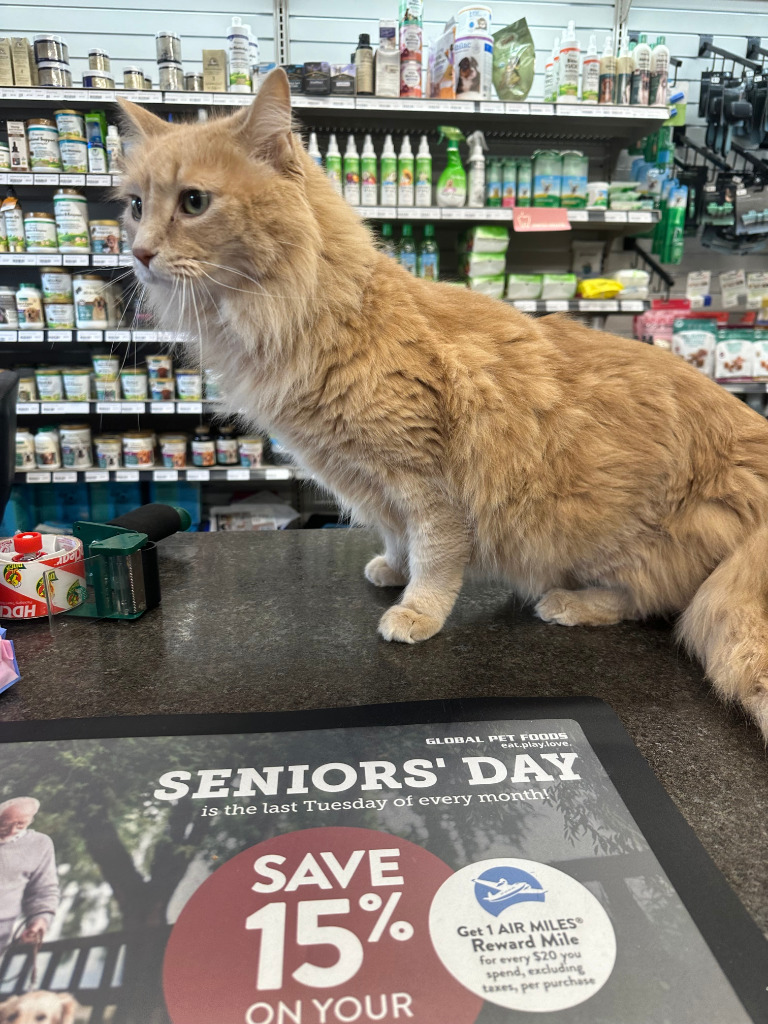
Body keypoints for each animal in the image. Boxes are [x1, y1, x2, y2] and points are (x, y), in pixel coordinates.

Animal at [117, 72, 768, 741]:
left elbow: (435, 555)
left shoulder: (429, 485)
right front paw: (393, 569)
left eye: (194, 202)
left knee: (652, 600)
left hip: (635, 546)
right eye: (136, 206)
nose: (138, 252)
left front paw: (417, 610)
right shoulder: (373, 484)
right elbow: (397, 536)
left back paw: (570, 602)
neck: (329, 315)